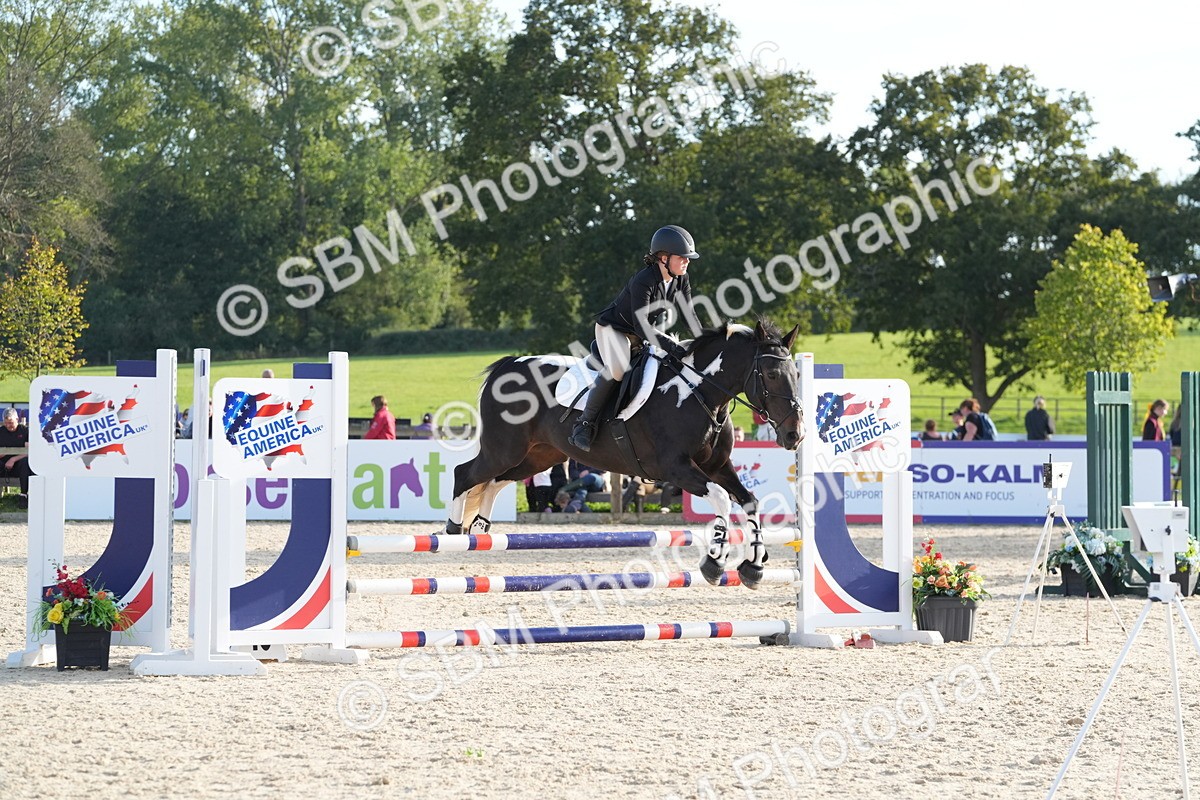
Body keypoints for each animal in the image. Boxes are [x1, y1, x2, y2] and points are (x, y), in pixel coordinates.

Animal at [443, 319, 804, 588]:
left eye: (797, 375)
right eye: (772, 375)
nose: (794, 435)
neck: (698, 392)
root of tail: (508, 365)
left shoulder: (717, 466)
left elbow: (749, 501)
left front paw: (754, 567)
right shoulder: (675, 468)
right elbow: (721, 499)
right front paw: (714, 563)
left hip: (538, 456)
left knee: (493, 482)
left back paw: (480, 528)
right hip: (505, 450)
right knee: (466, 473)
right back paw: (453, 529)